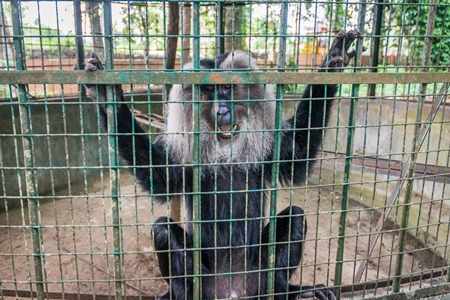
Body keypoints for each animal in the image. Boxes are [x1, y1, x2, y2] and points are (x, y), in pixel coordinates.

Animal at [84, 29, 364, 298]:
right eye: (208, 91)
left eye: (228, 87)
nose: (221, 111)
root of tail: (232, 291)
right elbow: (159, 177)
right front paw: (106, 96)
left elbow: (297, 155)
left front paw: (333, 61)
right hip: (203, 278)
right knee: (163, 229)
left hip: (259, 272)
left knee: (295, 217)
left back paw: (288, 292)